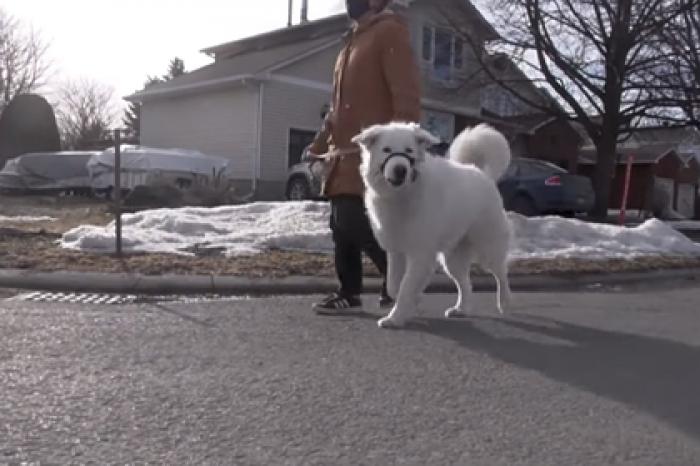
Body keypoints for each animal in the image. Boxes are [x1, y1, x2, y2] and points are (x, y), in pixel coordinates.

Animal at [352, 122, 512, 330]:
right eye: (386, 150)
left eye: (409, 151)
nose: (400, 169)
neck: (404, 194)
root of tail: (482, 174)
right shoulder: (396, 252)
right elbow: (394, 285)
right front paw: (414, 301)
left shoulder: (420, 254)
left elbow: (405, 287)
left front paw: (395, 318)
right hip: (452, 259)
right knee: (465, 284)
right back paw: (461, 309)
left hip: (487, 248)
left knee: (501, 274)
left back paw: (504, 303)